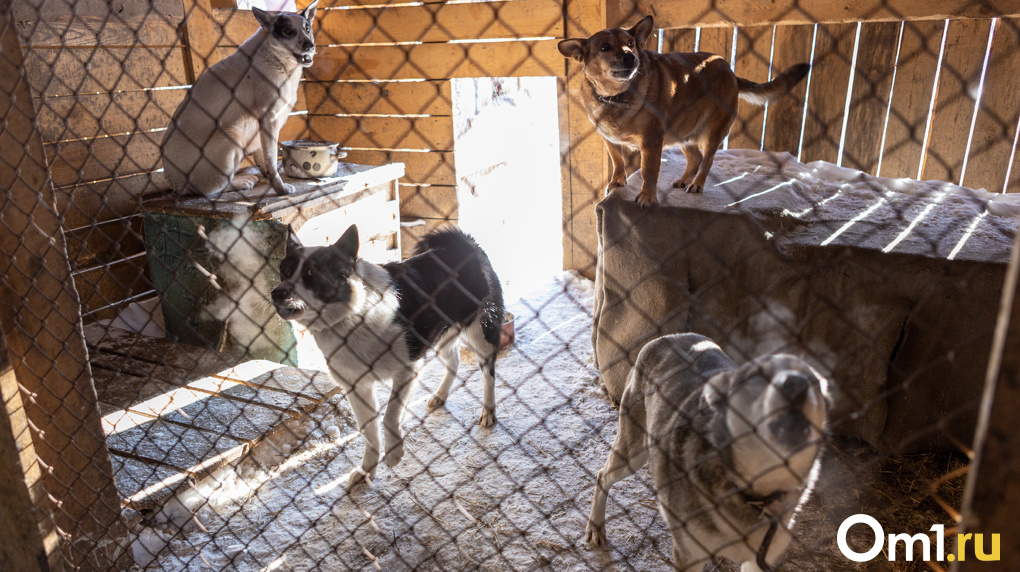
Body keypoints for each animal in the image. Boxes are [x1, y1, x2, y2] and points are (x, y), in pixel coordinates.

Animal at [162, 2, 318, 196]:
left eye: (307, 28)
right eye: (288, 31)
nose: (310, 46)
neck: (274, 56)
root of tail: (174, 182)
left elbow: (265, 161)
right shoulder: (269, 119)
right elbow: (272, 161)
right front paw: (280, 188)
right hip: (231, 135)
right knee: (213, 189)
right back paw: (240, 182)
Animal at [271, 224, 504, 487]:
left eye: (311, 274)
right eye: (285, 271)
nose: (276, 293)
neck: (352, 316)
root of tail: (466, 243)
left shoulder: (407, 370)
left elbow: (390, 415)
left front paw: (393, 453)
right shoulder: (356, 387)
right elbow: (369, 432)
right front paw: (367, 470)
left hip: (481, 331)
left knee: (488, 373)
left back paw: (488, 411)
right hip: (440, 335)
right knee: (453, 361)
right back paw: (441, 395)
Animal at [558, 16, 809, 206]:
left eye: (630, 43)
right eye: (604, 47)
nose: (631, 56)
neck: (616, 96)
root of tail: (730, 71)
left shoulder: (652, 141)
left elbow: (648, 171)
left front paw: (647, 197)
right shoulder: (608, 139)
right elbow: (618, 160)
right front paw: (617, 181)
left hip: (713, 131)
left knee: (706, 160)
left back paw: (697, 183)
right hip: (681, 131)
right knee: (695, 157)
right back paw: (684, 180)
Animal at [586, 334, 829, 572]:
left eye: (813, 381)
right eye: (756, 377)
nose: (795, 384)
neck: (755, 494)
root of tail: (667, 336)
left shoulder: (760, 560)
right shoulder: (689, 557)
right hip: (633, 454)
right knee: (602, 476)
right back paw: (596, 526)